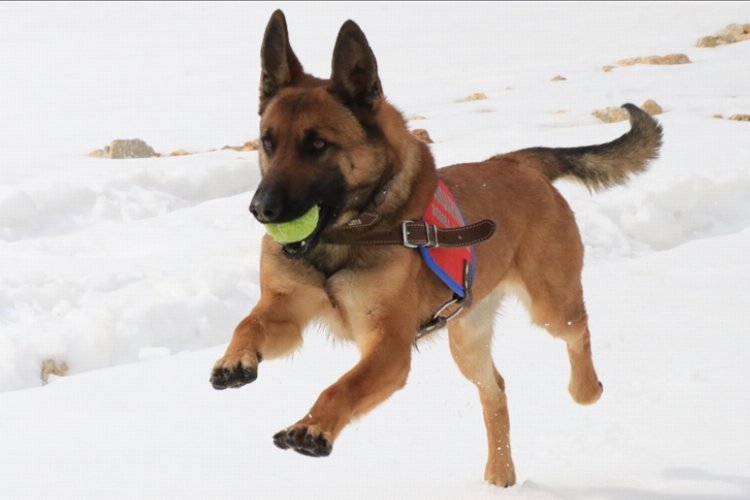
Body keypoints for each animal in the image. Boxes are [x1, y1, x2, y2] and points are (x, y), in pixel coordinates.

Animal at [212, 9, 664, 486]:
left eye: (317, 145)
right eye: (268, 142)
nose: (260, 210)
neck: (346, 235)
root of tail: (517, 162)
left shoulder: (388, 347)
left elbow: (342, 386)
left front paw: (313, 427)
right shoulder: (285, 309)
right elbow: (248, 324)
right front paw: (234, 360)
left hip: (550, 305)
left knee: (578, 330)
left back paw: (585, 390)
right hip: (467, 338)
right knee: (495, 390)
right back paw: (500, 472)